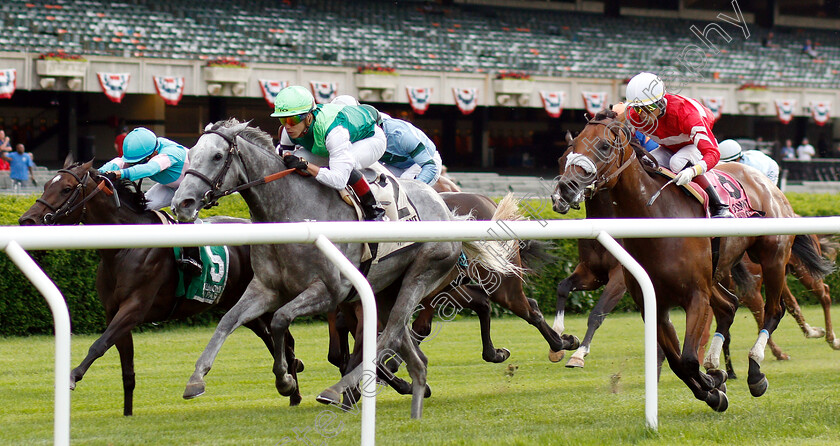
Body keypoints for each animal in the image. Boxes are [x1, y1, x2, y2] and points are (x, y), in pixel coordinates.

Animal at [18, 160, 302, 414]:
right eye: (46, 185)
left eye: (66, 189)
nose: (27, 220)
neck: (124, 248)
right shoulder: (114, 312)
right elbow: (127, 368)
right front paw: (128, 414)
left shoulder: (134, 308)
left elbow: (99, 345)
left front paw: (72, 376)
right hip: (239, 304)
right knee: (271, 338)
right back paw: (293, 387)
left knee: (285, 339)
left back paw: (293, 388)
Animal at [170, 118, 516, 418]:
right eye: (190, 153)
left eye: (217, 156)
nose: (182, 204)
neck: (292, 210)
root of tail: (445, 206)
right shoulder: (266, 288)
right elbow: (228, 321)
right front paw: (196, 379)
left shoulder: (329, 291)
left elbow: (280, 321)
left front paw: (285, 381)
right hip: (387, 288)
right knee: (408, 346)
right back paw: (413, 390)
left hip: (423, 274)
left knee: (389, 334)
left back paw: (339, 390)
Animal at [552, 110, 820, 412]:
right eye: (568, 152)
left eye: (604, 146)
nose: (564, 190)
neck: (656, 219)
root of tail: (767, 183)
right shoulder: (650, 300)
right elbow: (677, 361)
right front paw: (714, 388)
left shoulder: (693, 295)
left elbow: (688, 359)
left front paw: (714, 383)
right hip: (716, 272)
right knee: (729, 306)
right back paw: (715, 364)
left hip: (772, 257)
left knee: (773, 310)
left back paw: (754, 372)